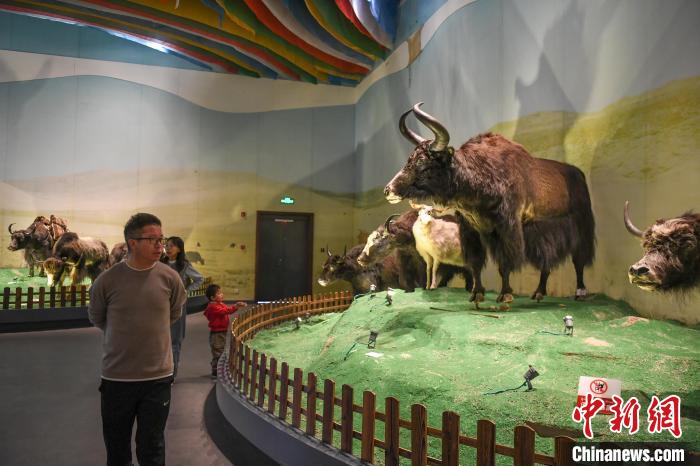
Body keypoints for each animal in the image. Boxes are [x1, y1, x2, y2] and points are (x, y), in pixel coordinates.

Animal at [384, 103, 596, 303]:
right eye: (409, 159)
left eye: (423, 162)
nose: (388, 190)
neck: (479, 177)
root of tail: (578, 174)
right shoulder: (472, 230)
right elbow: (476, 263)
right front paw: (476, 294)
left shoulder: (506, 228)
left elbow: (505, 264)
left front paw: (505, 294)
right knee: (547, 261)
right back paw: (538, 293)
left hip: (581, 225)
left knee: (579, 259)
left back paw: (580, 292)